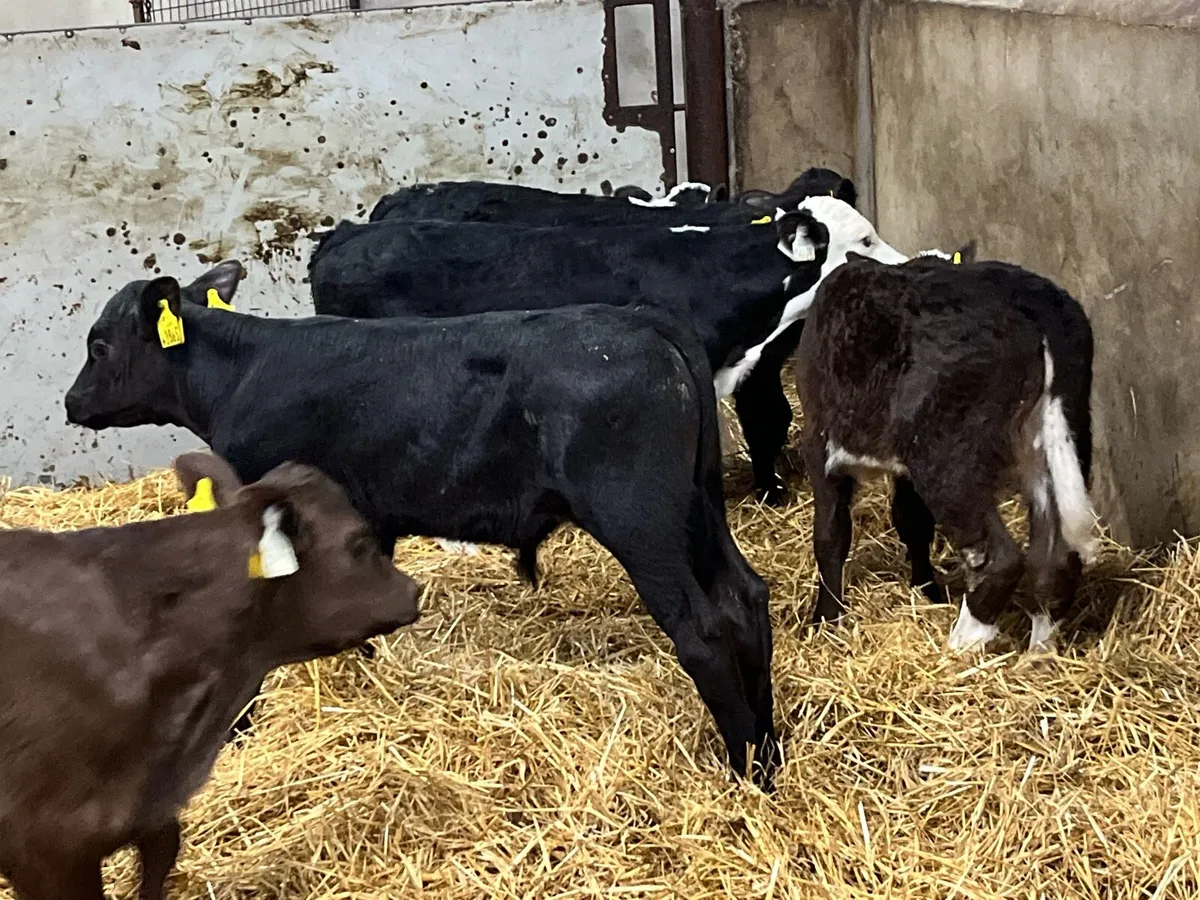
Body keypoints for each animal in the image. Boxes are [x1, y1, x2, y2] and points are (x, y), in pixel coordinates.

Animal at [63, 264, 781, 787]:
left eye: (99, 344)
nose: (71, 402)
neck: (242, 371)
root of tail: (640, 320)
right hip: (698, 511)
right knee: (746, 598)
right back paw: (767, 752)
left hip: (642, 520)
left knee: (703, 629)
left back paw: (743, 771)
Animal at [793, 248, 1097, 654]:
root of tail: (1030, 300)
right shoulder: (902, 468)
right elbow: (911, 522)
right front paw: (926, 591)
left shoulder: (819, 442)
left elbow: (830, 534)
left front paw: (825, 620)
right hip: (1057, 437)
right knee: (1055, 558)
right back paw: (1038, 654)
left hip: (946, 457)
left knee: (1000, 559)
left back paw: (960, 645)